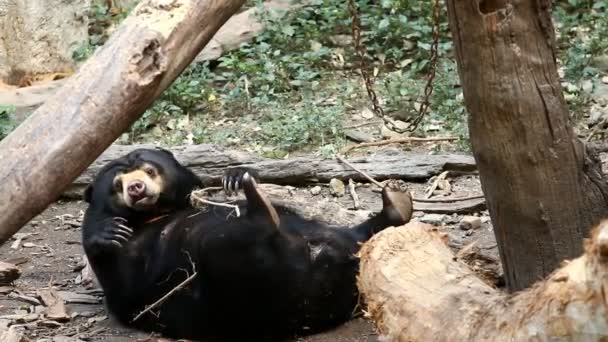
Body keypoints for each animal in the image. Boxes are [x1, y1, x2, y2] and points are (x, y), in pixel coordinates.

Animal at [81, 148, 414, 340]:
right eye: (117, 185)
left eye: (150, 170)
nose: (136, 188)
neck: (157, 211)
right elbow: (118, 265)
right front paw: (110, 232)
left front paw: (237, 175)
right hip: (240, 282)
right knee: (232, 243)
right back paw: (260, 208)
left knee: (358, 233)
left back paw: (396, 202)